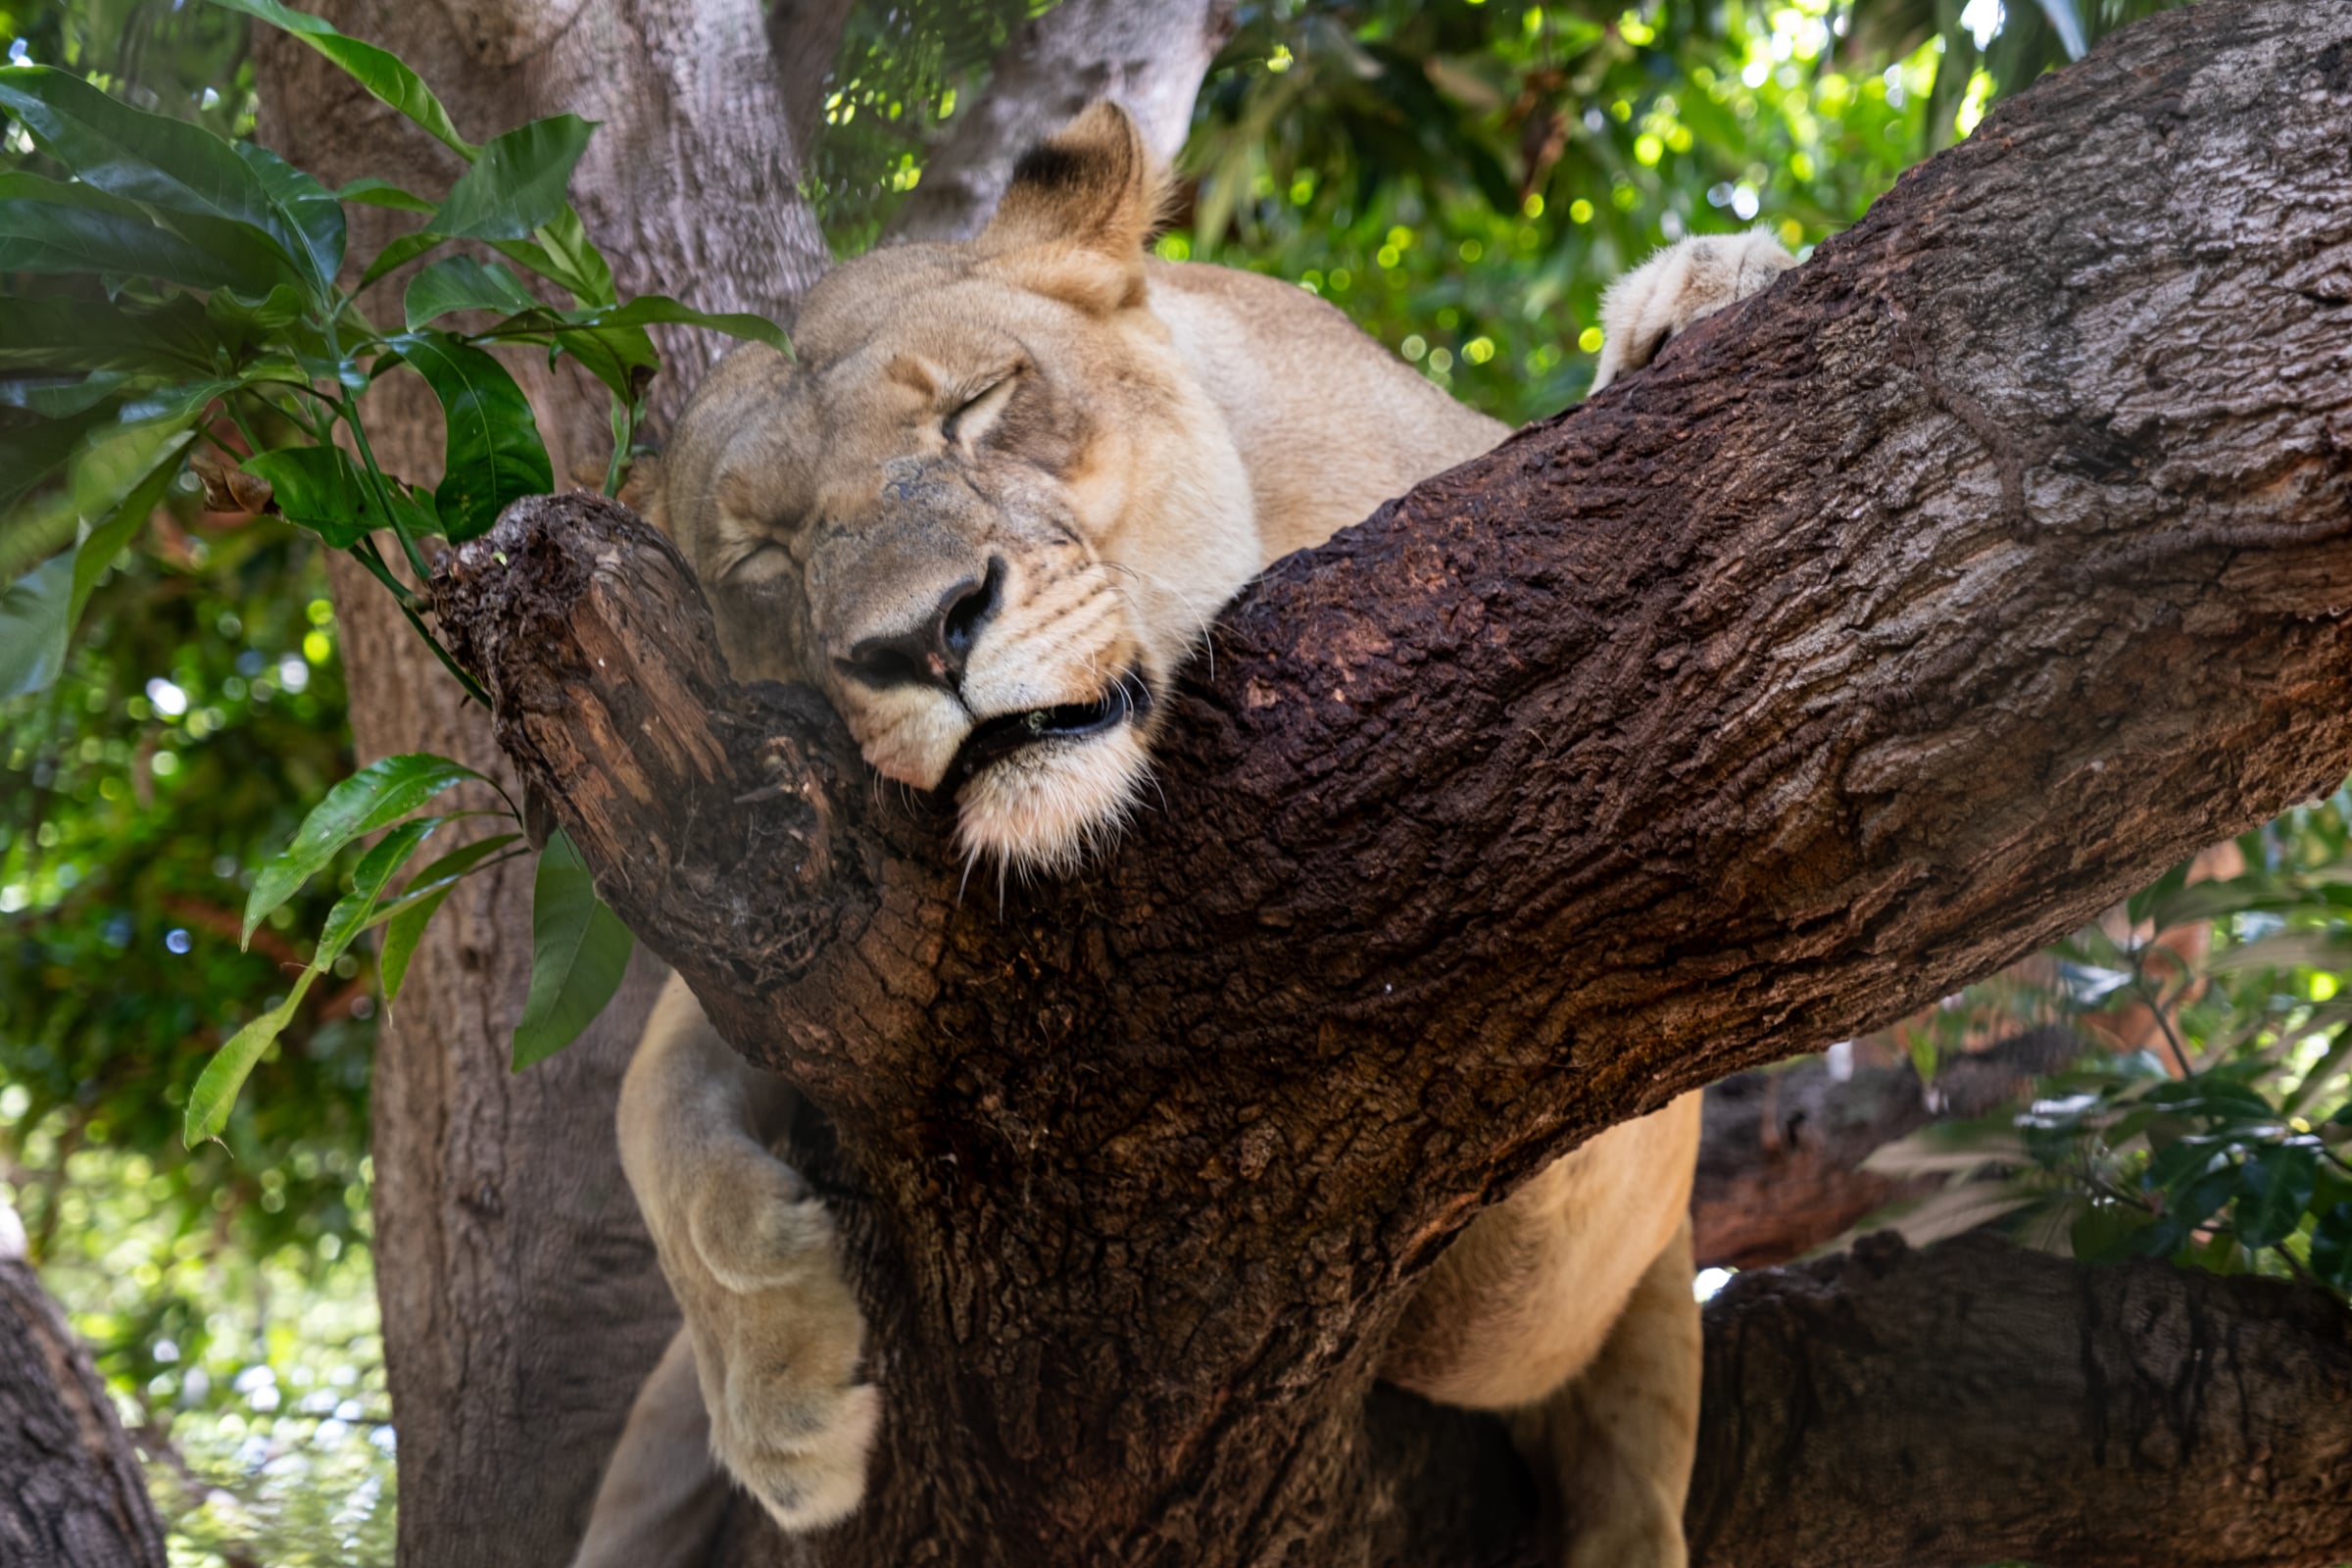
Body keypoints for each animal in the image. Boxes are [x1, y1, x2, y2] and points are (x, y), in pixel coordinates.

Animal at [568, 103, 1794, 1568]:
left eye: (976, 407)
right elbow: (652, 1111)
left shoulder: (1558, 1253)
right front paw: (777, 1397)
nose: (925, 638)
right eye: (761, 557)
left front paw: (1694, 307)